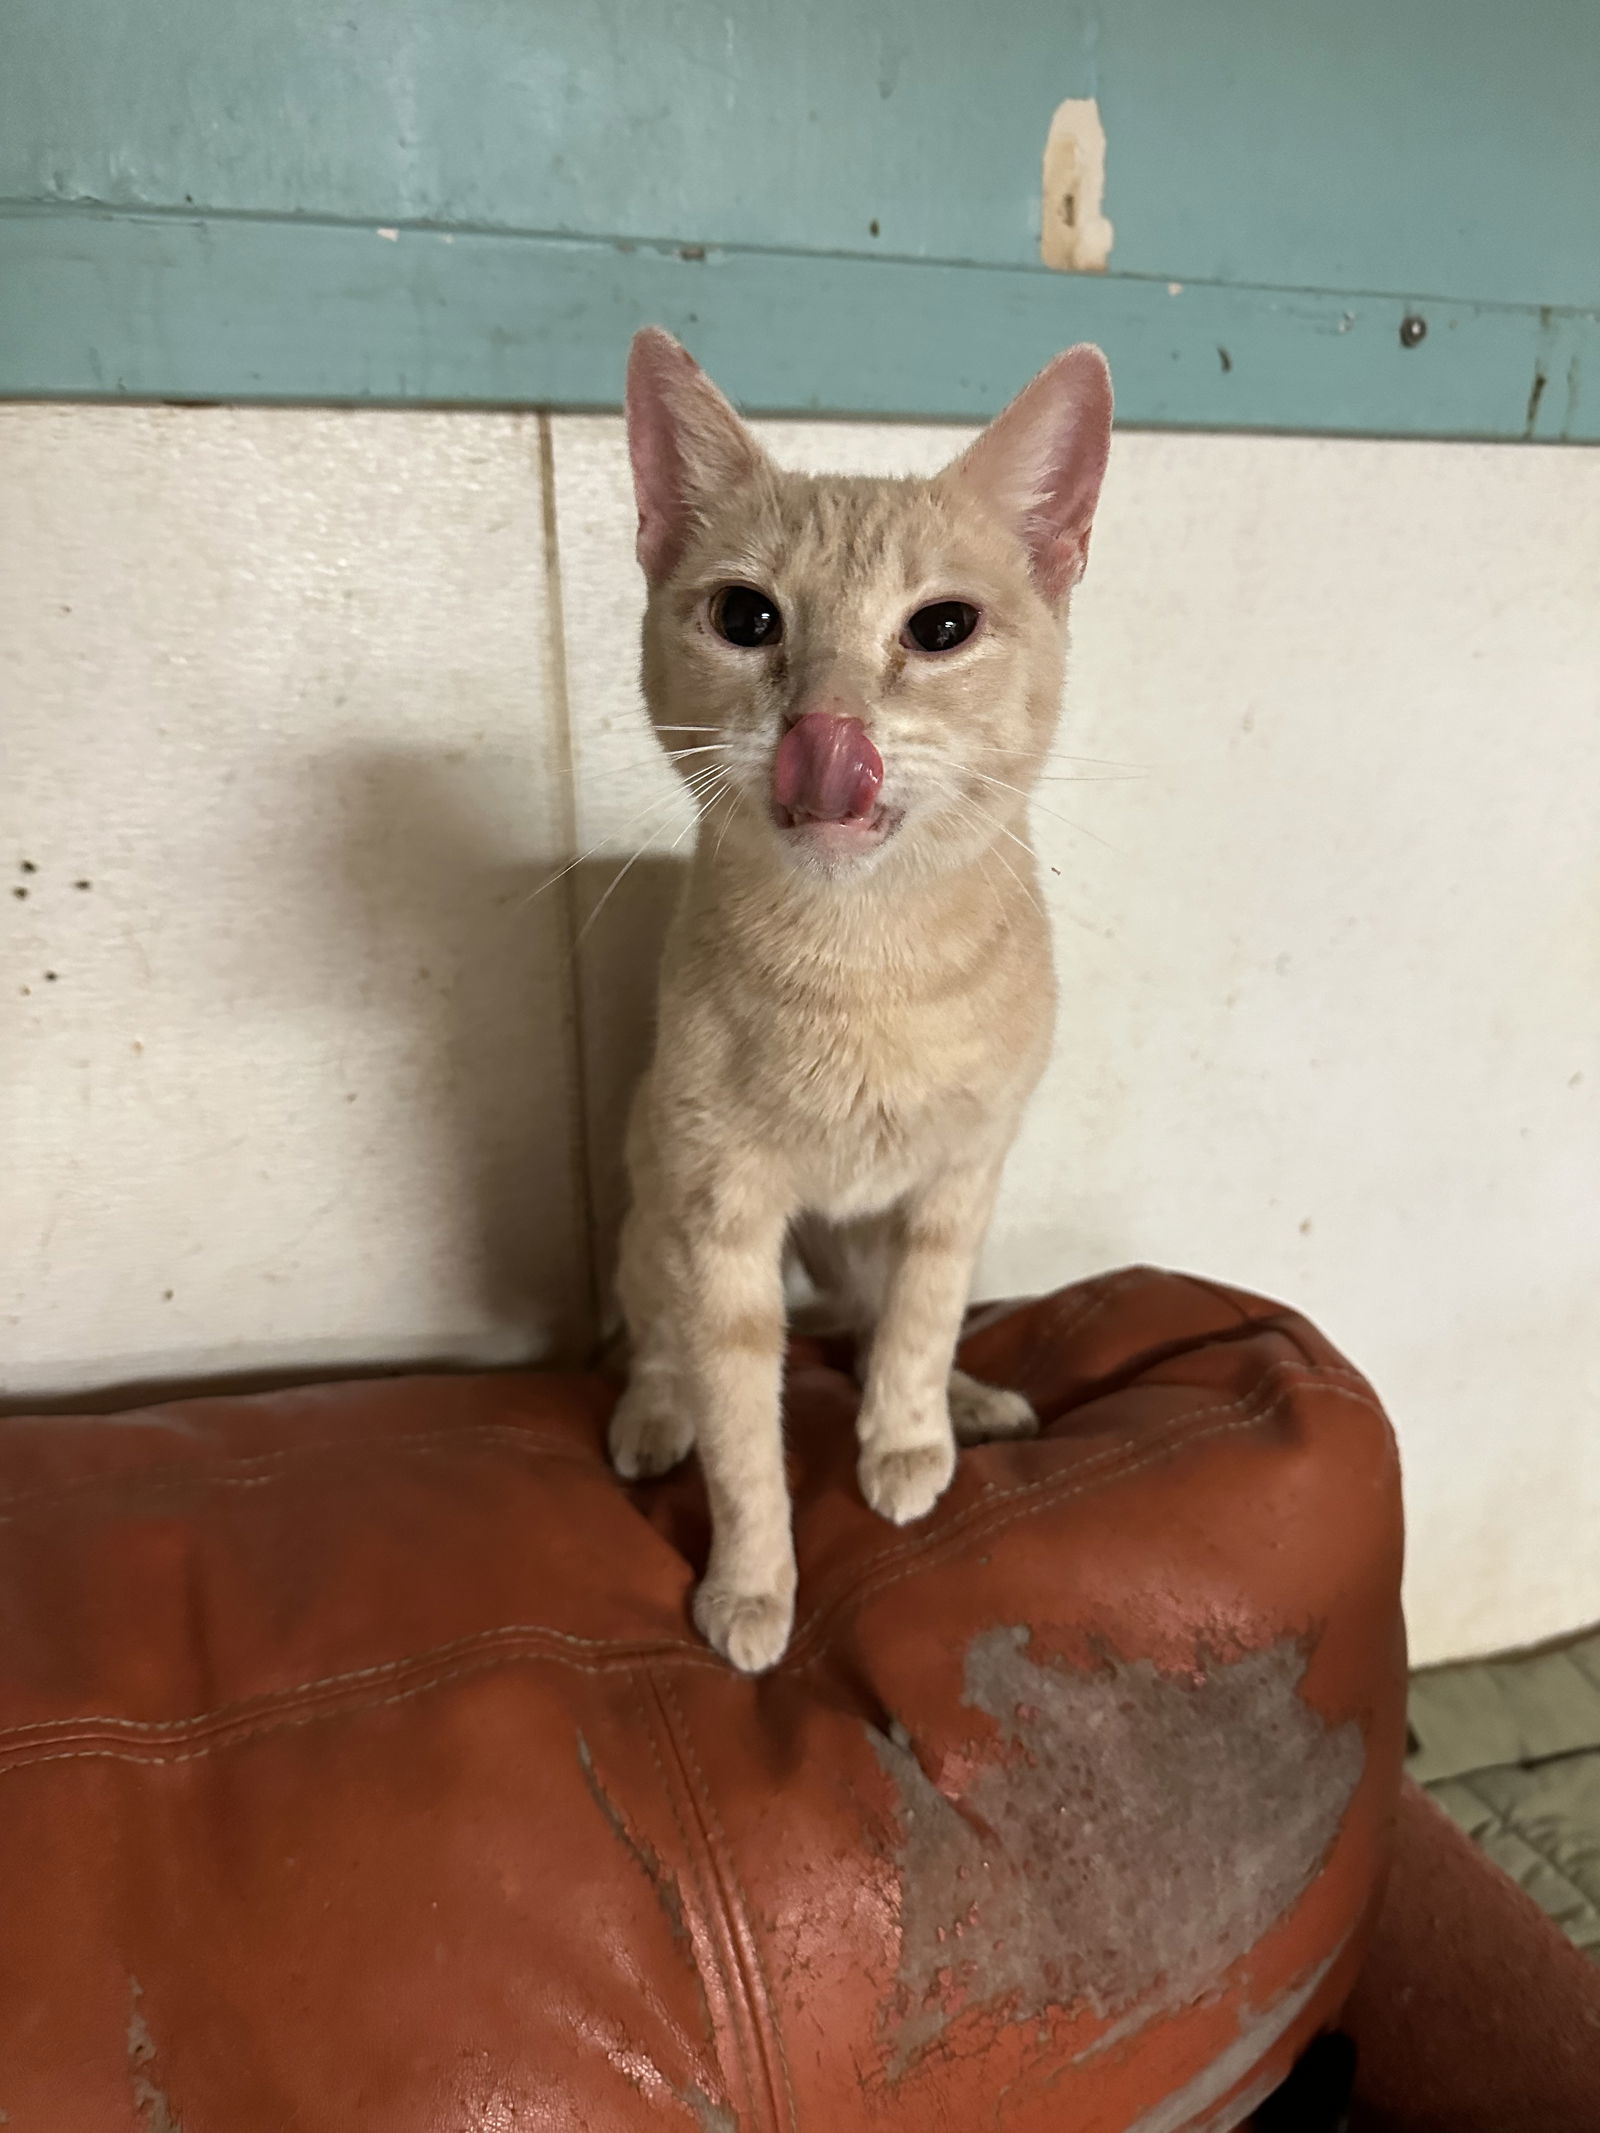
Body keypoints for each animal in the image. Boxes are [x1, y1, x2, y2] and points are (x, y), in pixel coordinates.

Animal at [605, 324, 1109, 1672]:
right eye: (745, 616)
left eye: (940, 627)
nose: (824, 728)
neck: (863, 968)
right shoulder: (718, 1219)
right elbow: (740, 1426)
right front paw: (754, 1584)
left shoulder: (960, 1175)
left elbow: (924, 1319)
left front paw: (907, 1439)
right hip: (651, 1216)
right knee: (658, 1340)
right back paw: (651, 1415)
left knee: (876, 1317)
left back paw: (967, 1403)